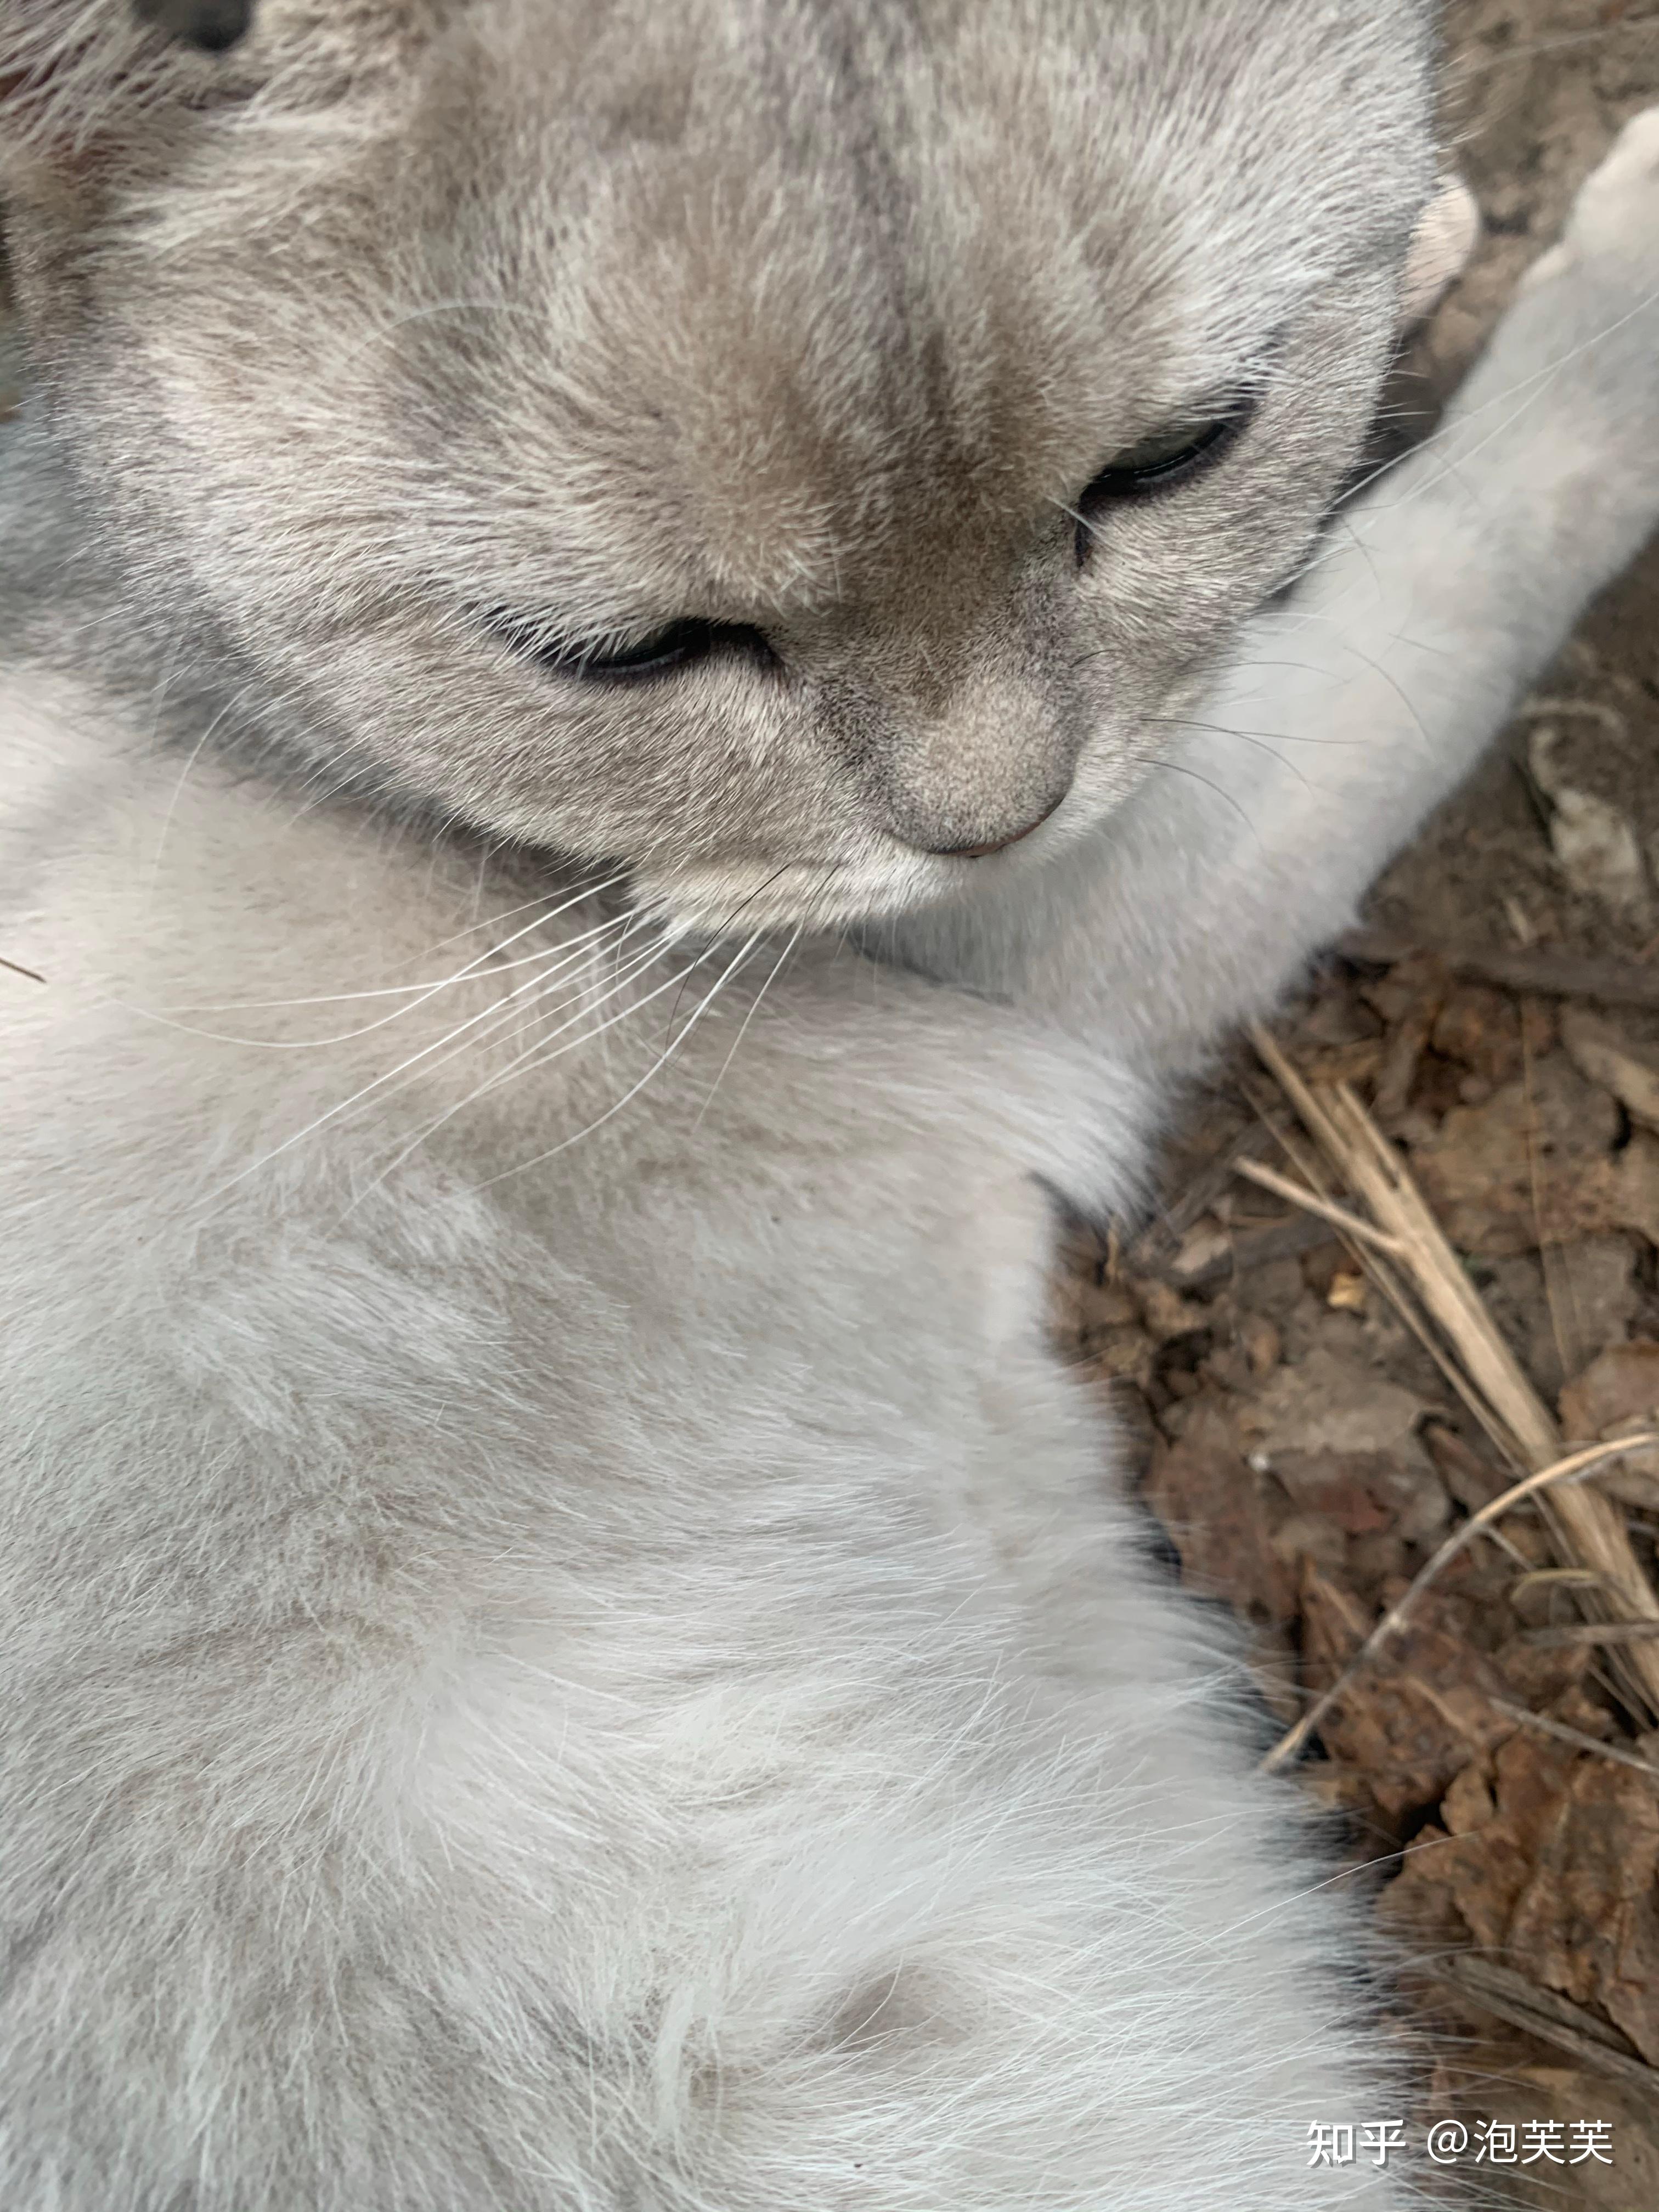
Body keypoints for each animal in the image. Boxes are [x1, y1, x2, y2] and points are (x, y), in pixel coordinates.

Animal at [3, 4, 1659, 2212]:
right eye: (620, 655)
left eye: (1172, 459)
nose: (989, 816)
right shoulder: (1121, 888)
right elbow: (1471, 541)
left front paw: (1429, 225)